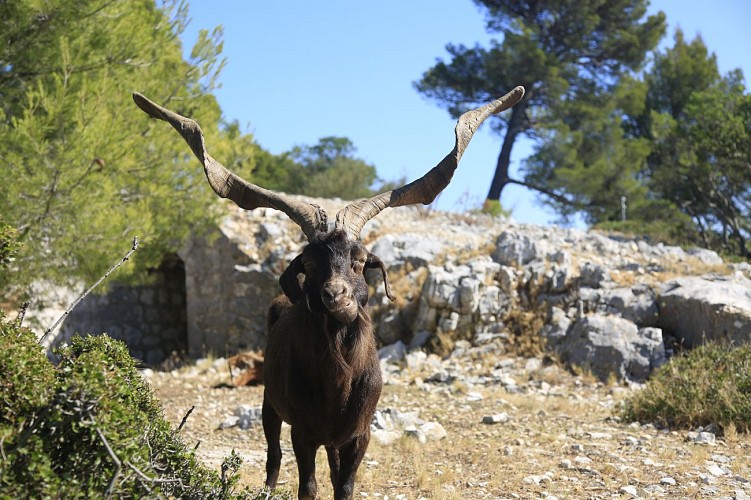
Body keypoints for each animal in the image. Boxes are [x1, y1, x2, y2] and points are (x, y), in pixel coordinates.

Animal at [134, 87, 524, 500]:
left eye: (360, 260)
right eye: (308, 261)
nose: (336, 297)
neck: (338, 380)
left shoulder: (358, 434)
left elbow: (345, 485)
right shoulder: (302, 431)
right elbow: (308, 485)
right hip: (270, 404)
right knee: (273, 454)